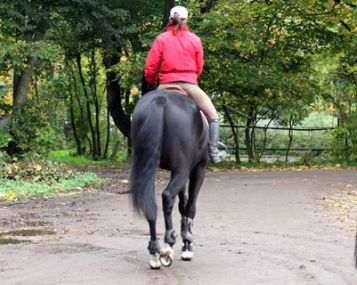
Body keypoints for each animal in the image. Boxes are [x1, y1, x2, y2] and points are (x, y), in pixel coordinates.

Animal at [129, 86, 209, 266]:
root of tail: (160, 100)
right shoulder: (197, 170)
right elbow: (190, 207)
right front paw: (187, 245)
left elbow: (182, 203)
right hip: (183, 169)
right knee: (167, 196)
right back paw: (168, 244)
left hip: (148, 166)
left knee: (150, 202)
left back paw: (154, 251)